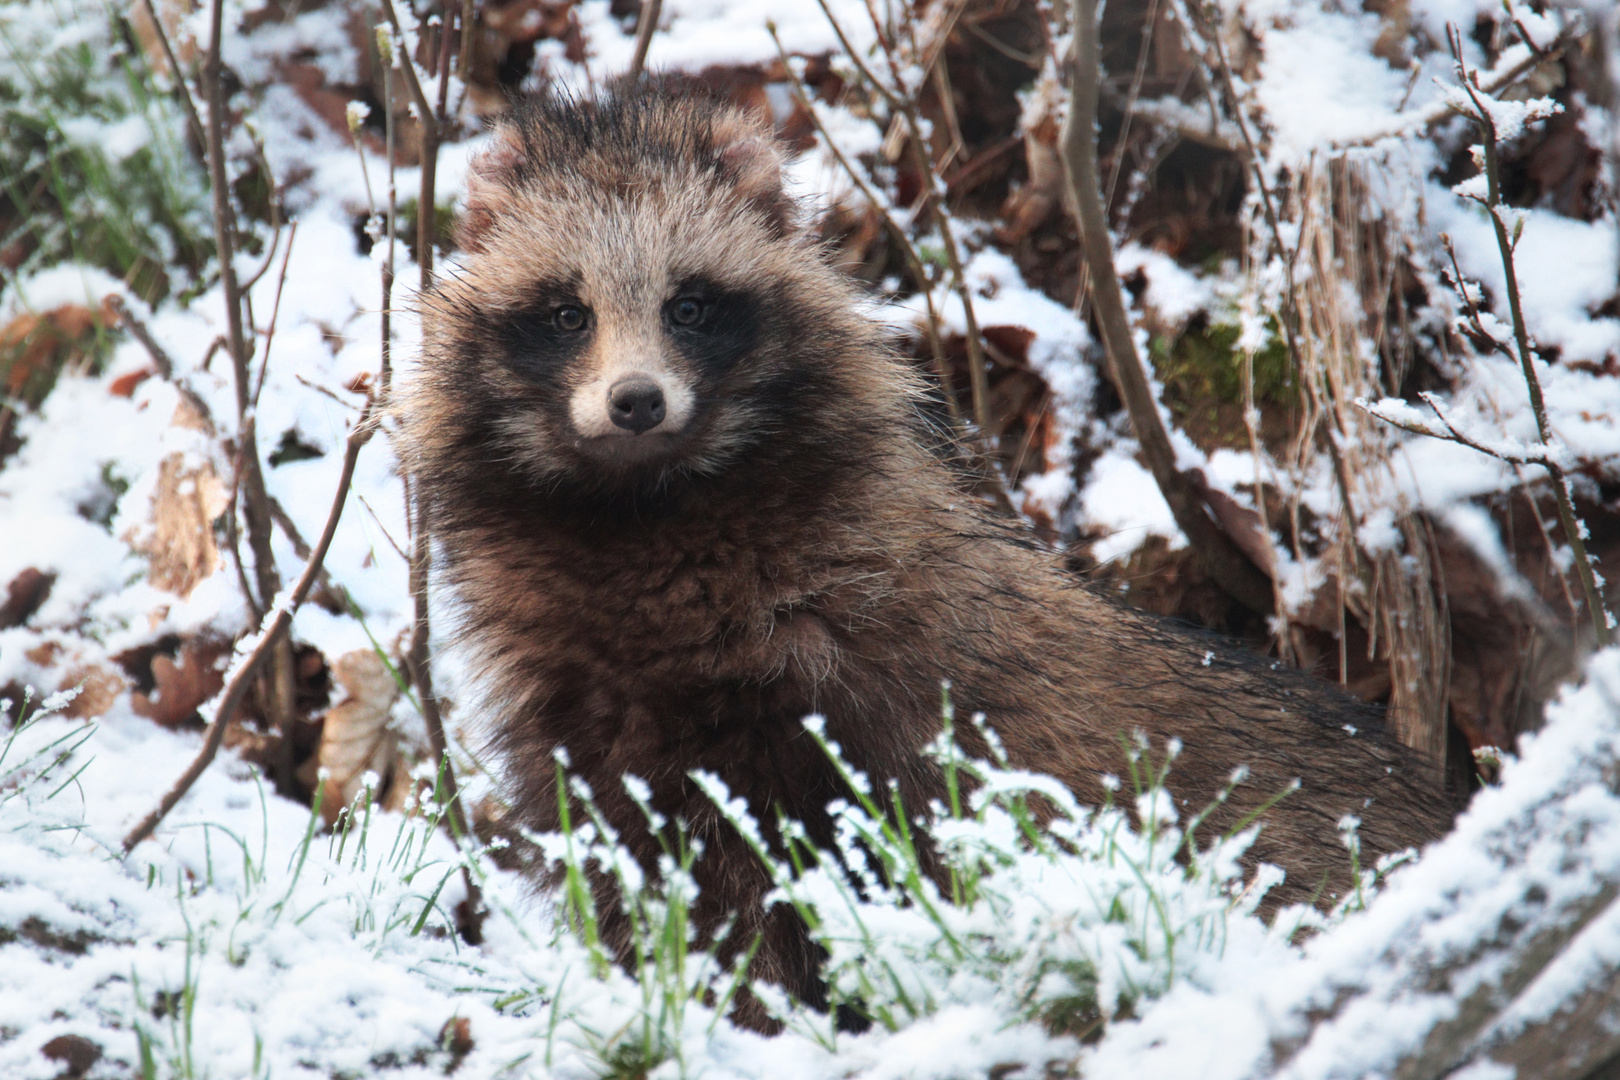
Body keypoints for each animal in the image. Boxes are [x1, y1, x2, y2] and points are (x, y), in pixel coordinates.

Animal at [405, 84, 1458, 1023]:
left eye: (690, 306)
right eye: (567, 312)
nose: (634, 400)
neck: (644, 513)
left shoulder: (835, 690)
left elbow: (803, 880)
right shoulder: (579, 712)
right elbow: (640, 878)